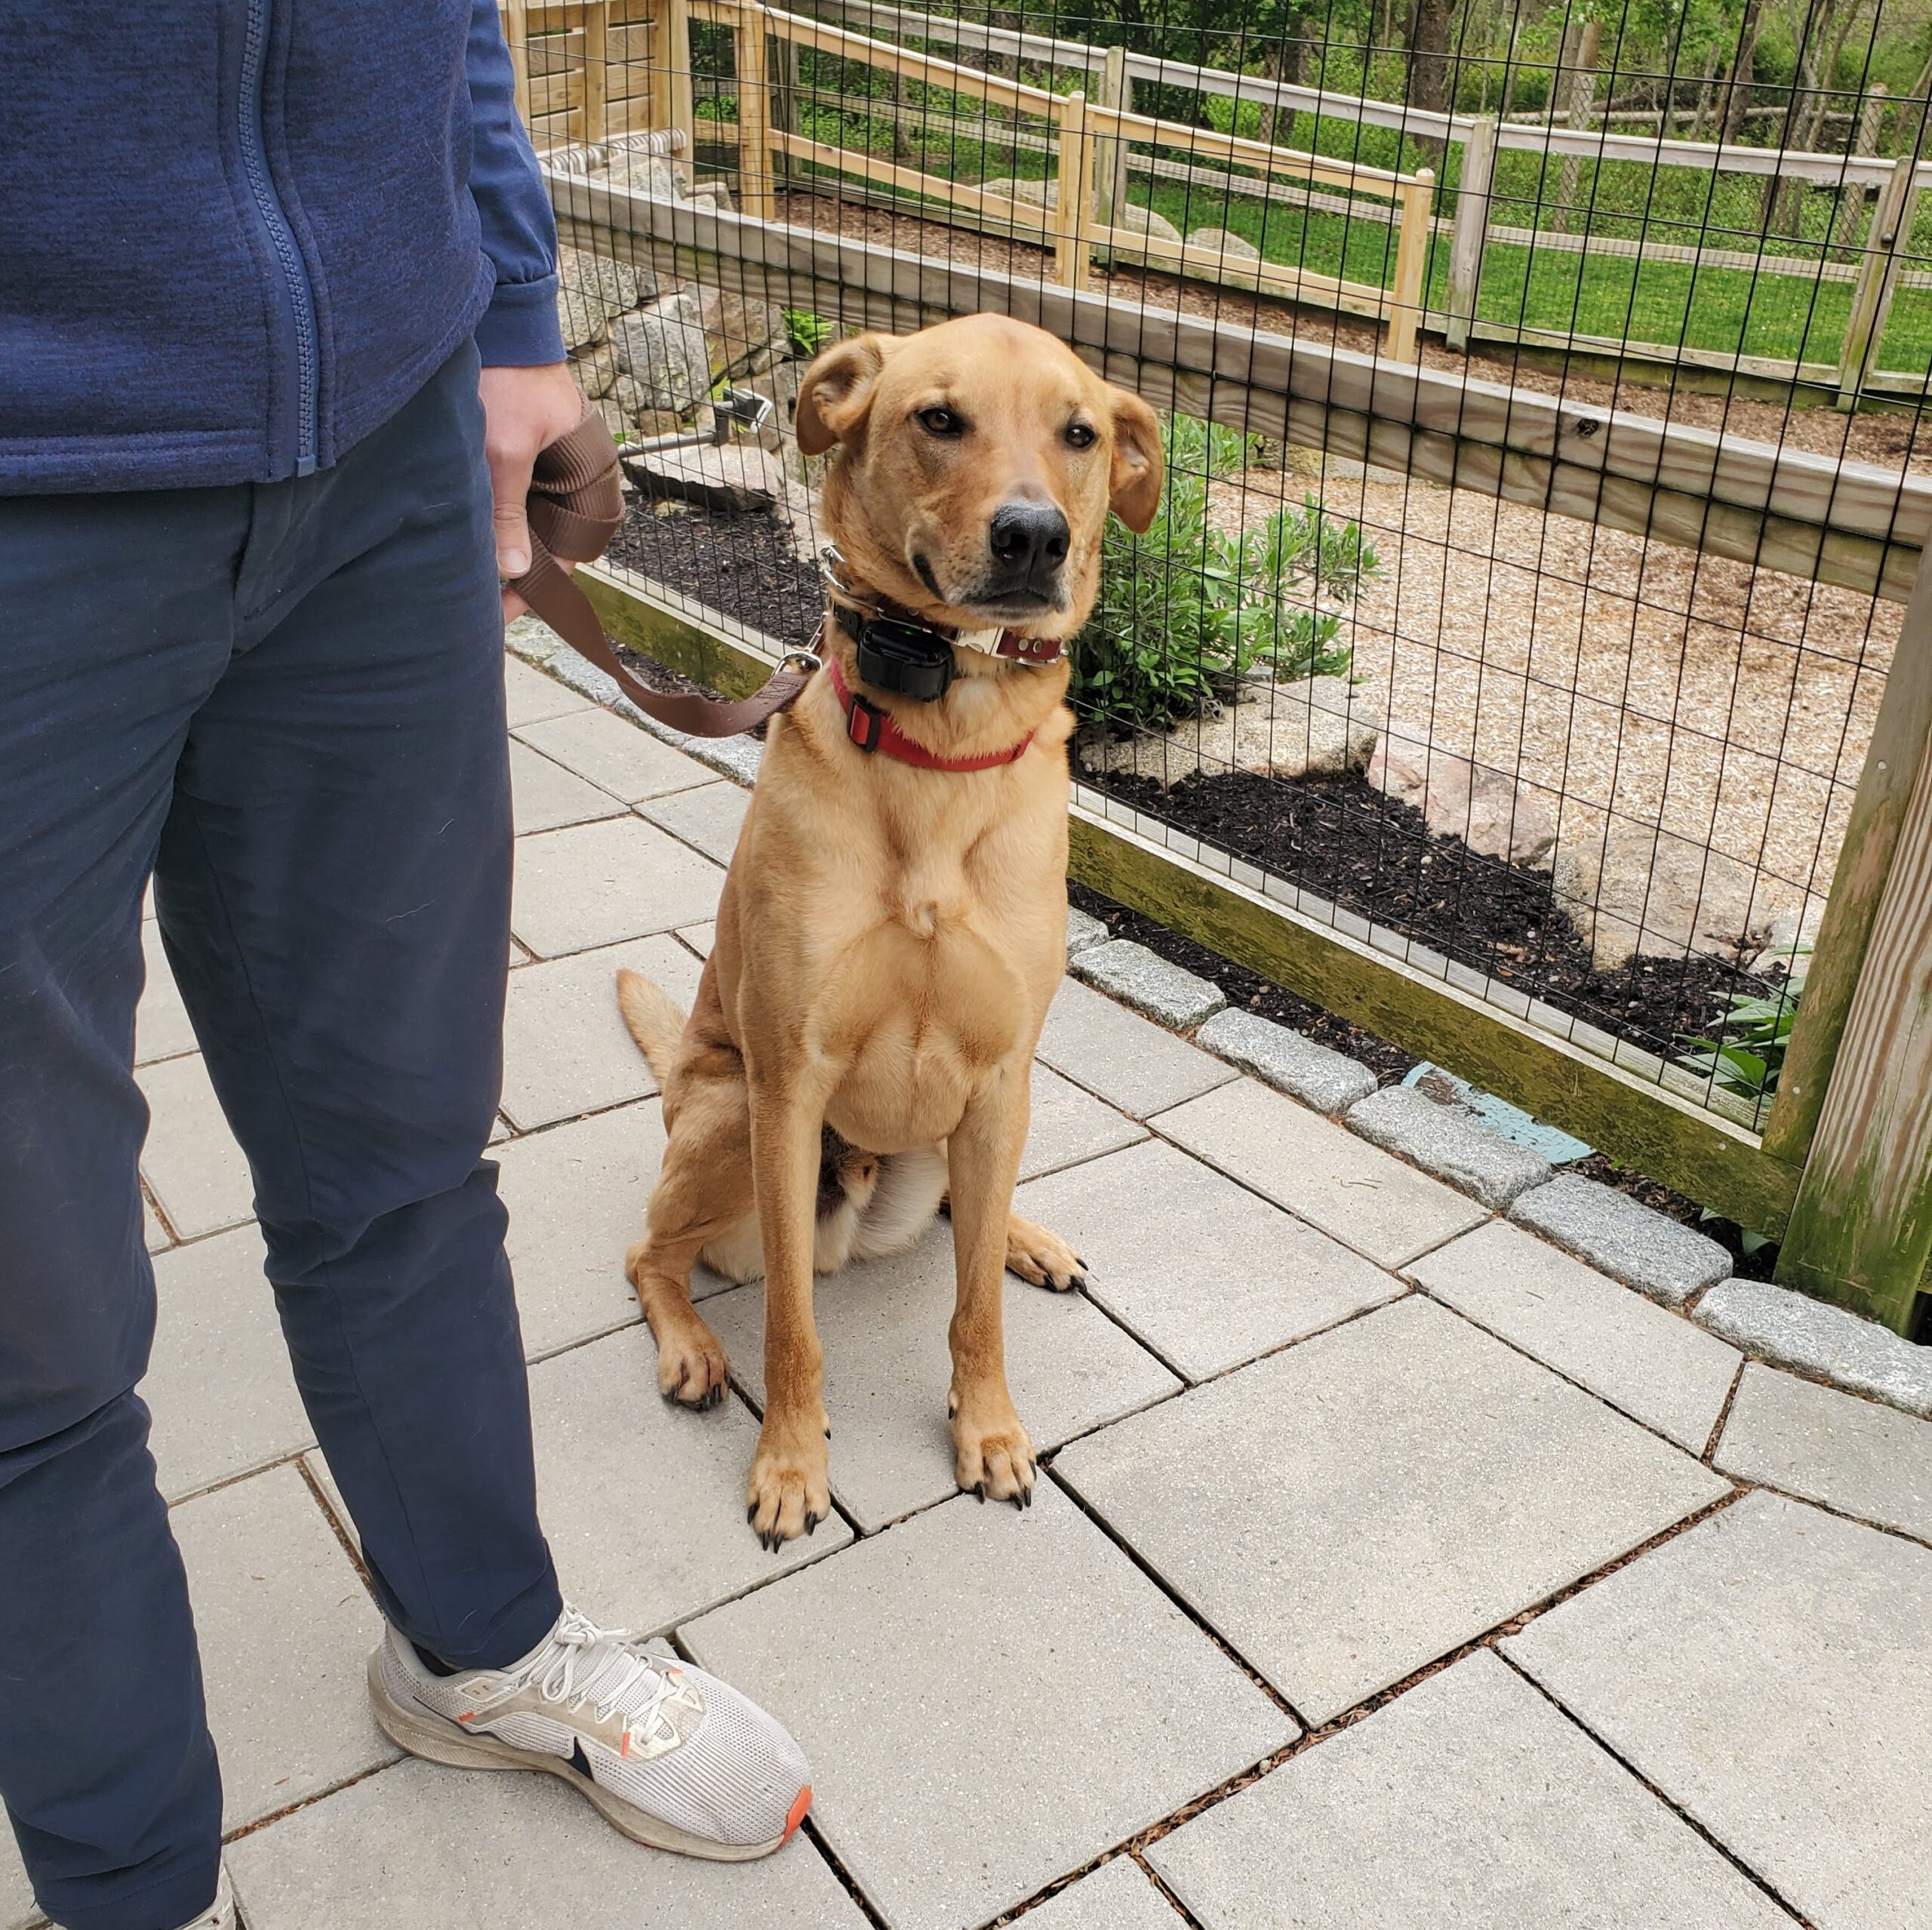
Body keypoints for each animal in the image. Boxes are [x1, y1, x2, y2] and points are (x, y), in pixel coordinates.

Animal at [626, 316, 1151, 1553]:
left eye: (1080, 433)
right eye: (938, 418)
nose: (1034, 535)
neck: (944, 747)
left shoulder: (1004, 1074)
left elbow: (975, 1314)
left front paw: (991, 1430)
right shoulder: (788, 1085)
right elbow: (791, 1323)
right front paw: (789, 1463)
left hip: (972, 1126)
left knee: (972, 1209)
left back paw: (1025, 1237)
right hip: (728, 1113)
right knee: (649, 1254)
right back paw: (691, 1350)